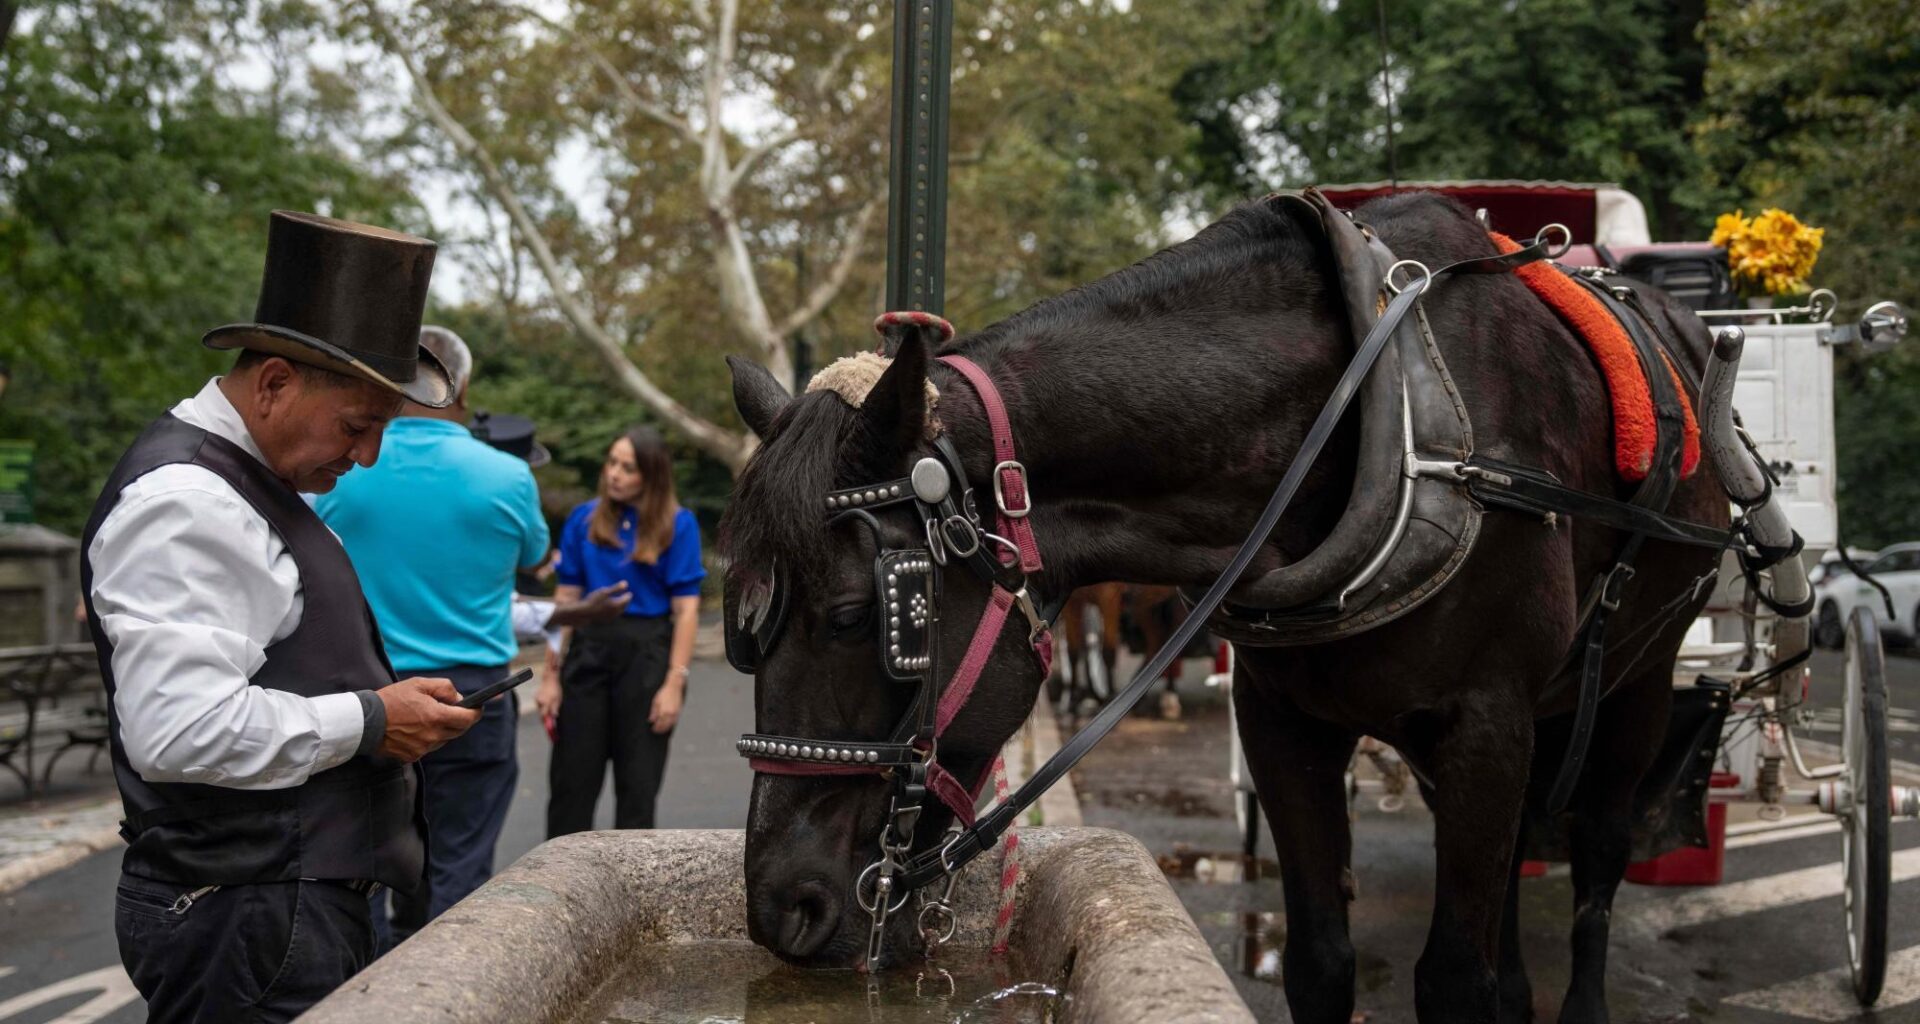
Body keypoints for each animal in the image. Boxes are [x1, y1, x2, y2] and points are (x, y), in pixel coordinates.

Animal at [721, 190, 1726, 1023]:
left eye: (858, 615)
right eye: (744, 629)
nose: (781, 907)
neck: (1384, 409)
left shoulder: (1485, 721)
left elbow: (1452, 980)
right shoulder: (1283, 722)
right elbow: (1321, 962)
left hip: (1637, 678)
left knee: (1597, 852)